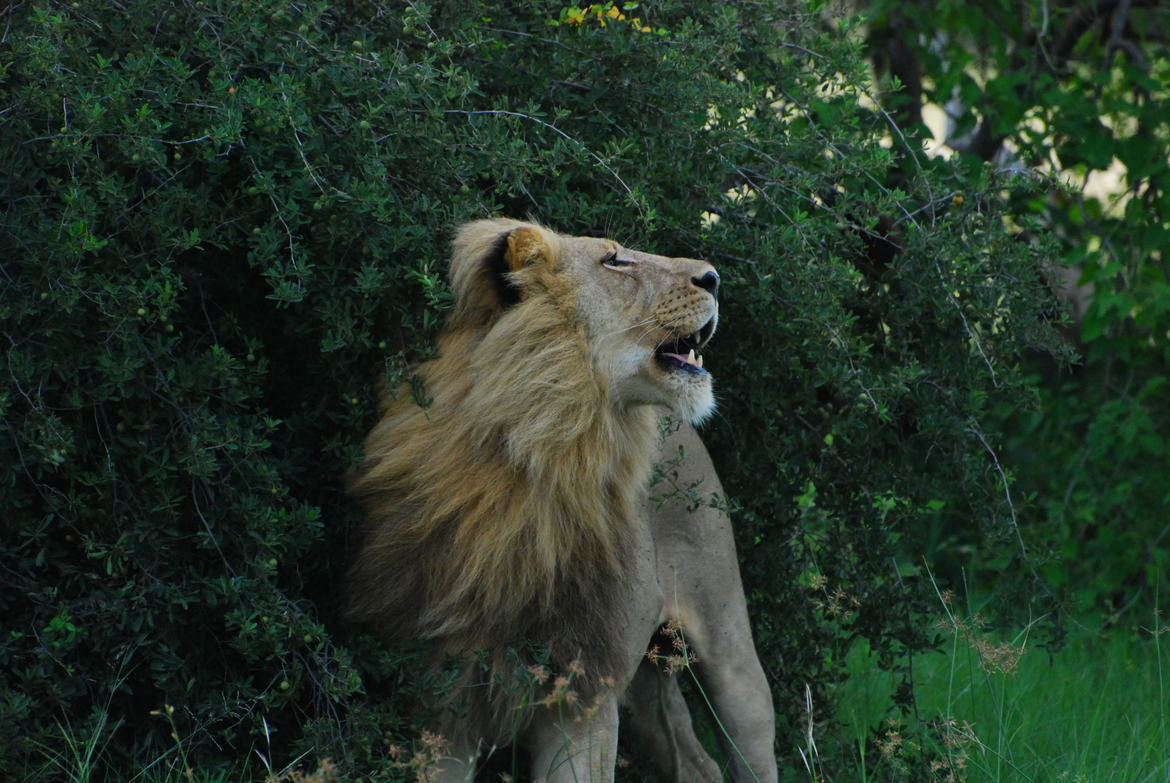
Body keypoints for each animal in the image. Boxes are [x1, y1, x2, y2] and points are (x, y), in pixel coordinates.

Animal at [347, 219, 777, 782]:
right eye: (614, 260)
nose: (714, 278)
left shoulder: (585, 688)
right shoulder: (443, 698)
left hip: (728, 642)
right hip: (646, 681)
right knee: (695, 761)